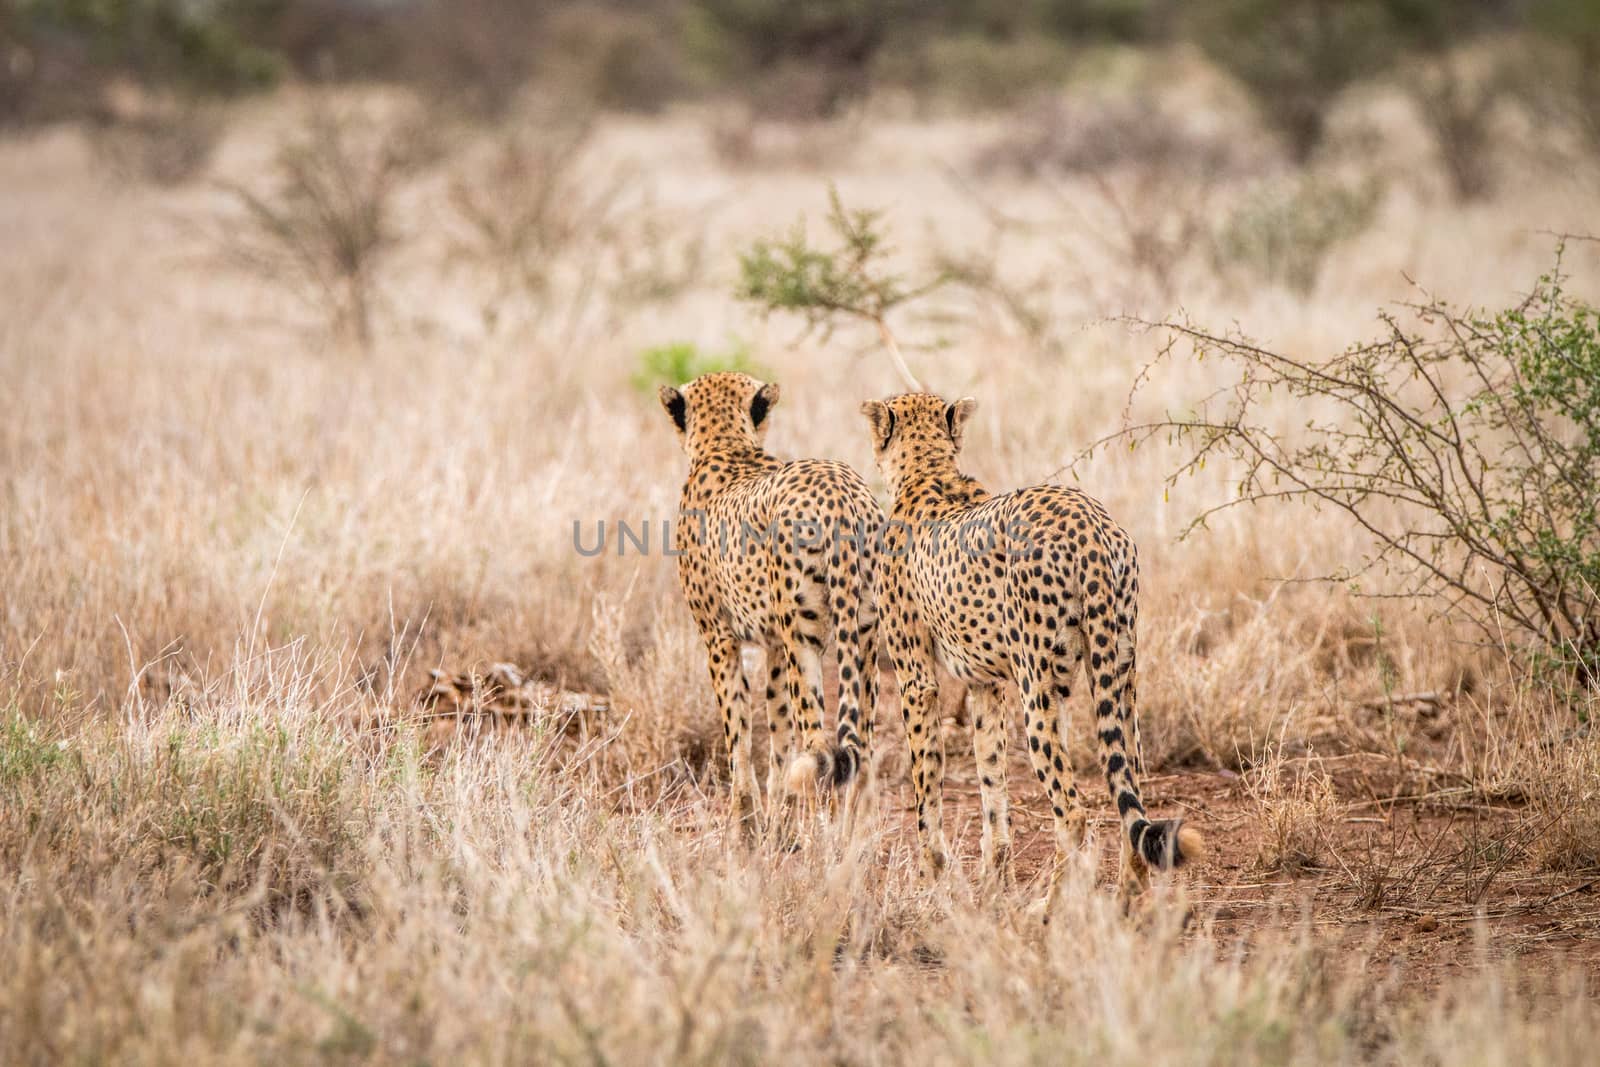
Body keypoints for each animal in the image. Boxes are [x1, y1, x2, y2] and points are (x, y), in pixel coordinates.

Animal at [662, 375, 889, 831]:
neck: (726, 445)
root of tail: (841, 493)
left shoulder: (719, 638)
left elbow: (738, 731)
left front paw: (744, 821)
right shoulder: (774, 646)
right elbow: (778, 731)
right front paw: (775, 817)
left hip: (806, 639)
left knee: (819, 742)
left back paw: (821, 836)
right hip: (865, 636)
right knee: (862, 747)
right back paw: (858, 836)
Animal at [864, 391, 1203, 908]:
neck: (927, 472)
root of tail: (1090, 523)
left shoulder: (916, 681)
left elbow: (927, 784)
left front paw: (930, 875)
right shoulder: (985, 684)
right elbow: (991, 778)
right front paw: (992, 878)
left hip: (1037, 684)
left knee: (1073, 810)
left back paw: (1050, 905)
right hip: (1117, 673)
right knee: (1129, 787)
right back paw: (1127, 896)